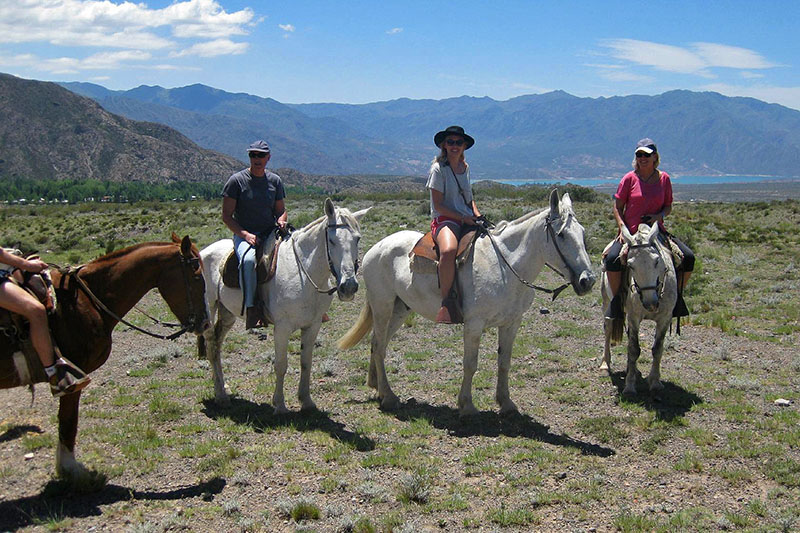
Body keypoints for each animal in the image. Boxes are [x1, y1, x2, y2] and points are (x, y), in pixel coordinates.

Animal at [0, 233, 209, 478]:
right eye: (197, 276)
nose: (205, 322)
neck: (85, 301)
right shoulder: (75, 380)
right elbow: (68, 421)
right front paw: (70, 468)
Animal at [198, 198, 370, 412]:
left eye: (357, 239)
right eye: (331, 240)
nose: (349, 286)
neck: (305, 273)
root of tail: (204, 251)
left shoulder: (312, 326)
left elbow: (306, 362)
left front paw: (306, 401)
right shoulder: (282, 327)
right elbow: (281, 365)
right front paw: (279, 405)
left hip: (227, 312)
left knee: (216, 344)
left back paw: (222, 389)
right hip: (209, 308)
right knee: (211, 345)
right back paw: (221, 395)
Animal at [336, 189, 592, 418]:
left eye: (582, 233)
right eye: (561, 235)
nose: (587, 281)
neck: (505, 265)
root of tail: (376, 247)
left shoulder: (511, 323)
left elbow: (504, 362)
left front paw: (506, 403)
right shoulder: (474, 325)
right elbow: (470, 364)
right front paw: (467, 406)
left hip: (400, 309)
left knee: (378, 343)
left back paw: (377, 387)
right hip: (383, 305)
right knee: (379, 344)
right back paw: (389, 397)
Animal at [600, 221, 676, 394]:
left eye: (657, 261)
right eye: (630, 265)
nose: (650, 303)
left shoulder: (665, 318)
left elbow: (657, 349)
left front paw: (655, 382)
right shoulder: (634, 317)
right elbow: (634, 349)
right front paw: (629, 386)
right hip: (607, 302)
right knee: (608, 329)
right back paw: (605, 364)